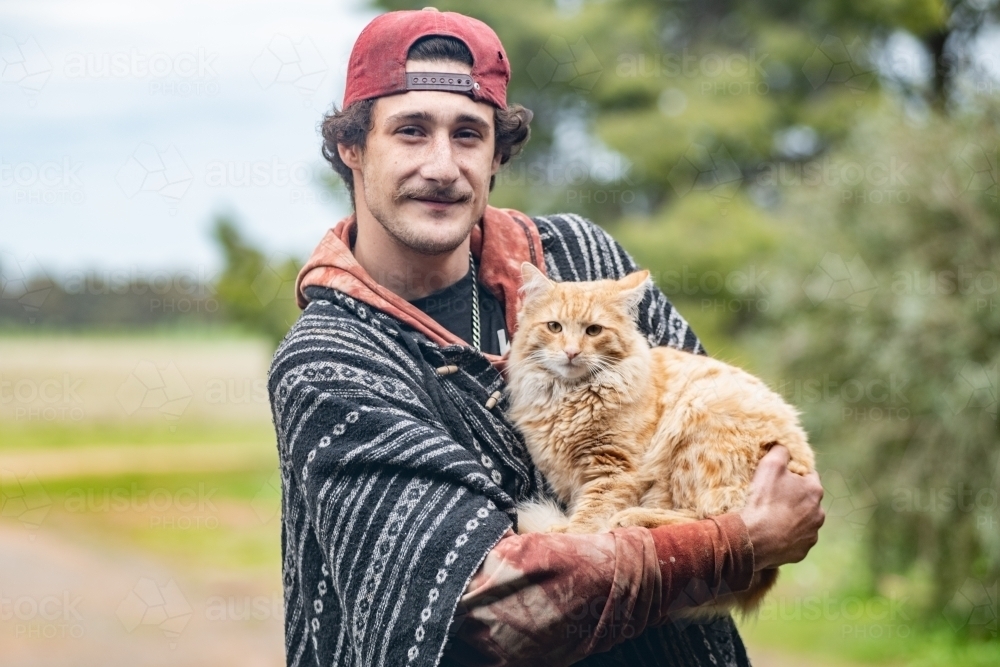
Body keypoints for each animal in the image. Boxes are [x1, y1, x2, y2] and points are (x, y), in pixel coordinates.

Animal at [508, 264, 812, 612]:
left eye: (594, 331)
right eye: (554, 327)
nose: (571, 352)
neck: (569, 398)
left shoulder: (614, 470)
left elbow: (589, 518)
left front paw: (571, 532)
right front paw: (565, 527)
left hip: (697, 421)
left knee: (717, 518)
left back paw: (633, 518)